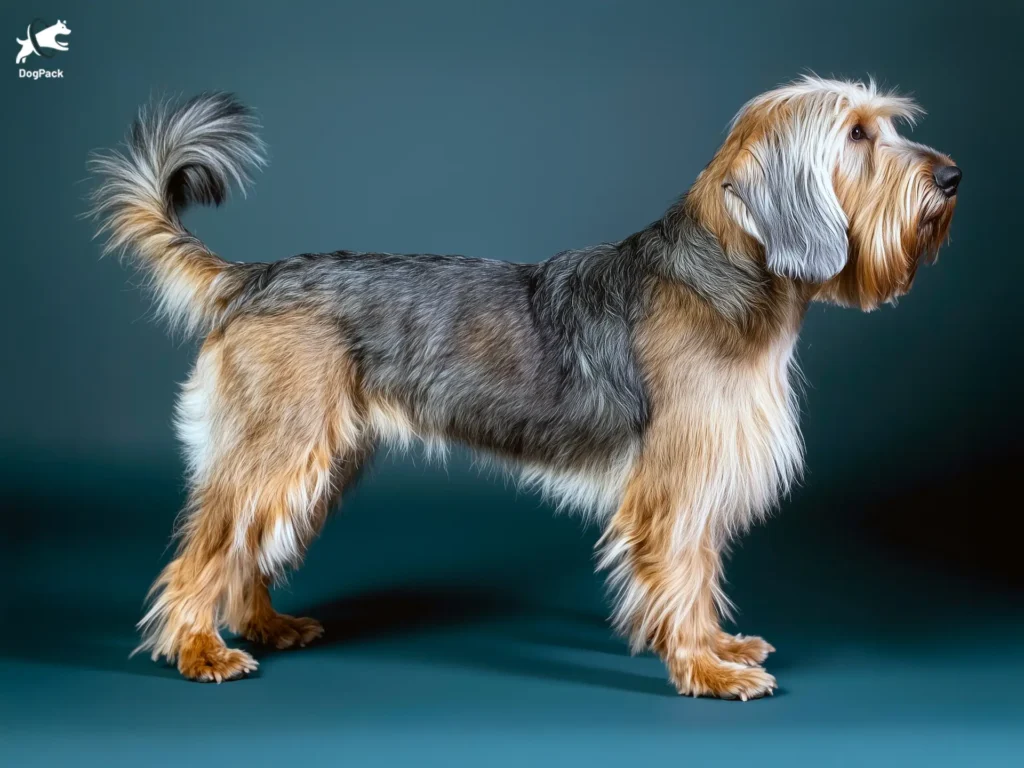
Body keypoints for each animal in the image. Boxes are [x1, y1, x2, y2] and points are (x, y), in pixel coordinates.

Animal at [88, 76, 958, 696]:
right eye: (857, 133)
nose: (951, 175)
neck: (727, 283)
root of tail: (254, 278)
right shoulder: (676, 486)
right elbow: (681, 576)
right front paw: (705, 671)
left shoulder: (705, 478)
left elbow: (703, 576)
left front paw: (719, 647)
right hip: (276, 449)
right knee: (203, 556)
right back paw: (198, 650)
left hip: (320, 461)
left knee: (248, 552)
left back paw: (266, 626)